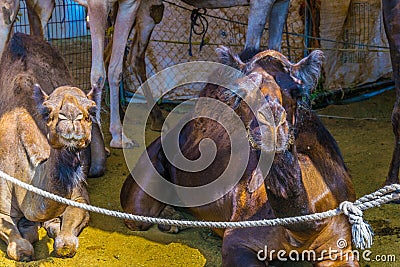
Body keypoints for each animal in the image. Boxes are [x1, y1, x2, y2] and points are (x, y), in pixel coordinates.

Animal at [0, 33, 105, 262]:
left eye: (91, 111)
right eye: (47, 111)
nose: (71, 117)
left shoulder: (79, 197)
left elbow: (65, 243)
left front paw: (52, 227)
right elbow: (20, 248)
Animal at [119, 47, 360, 266]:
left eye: (296, 92)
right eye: (242, 93)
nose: (272, 121)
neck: (301, 230)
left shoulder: (338, 245)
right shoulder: (239, 240)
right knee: (137, 214)